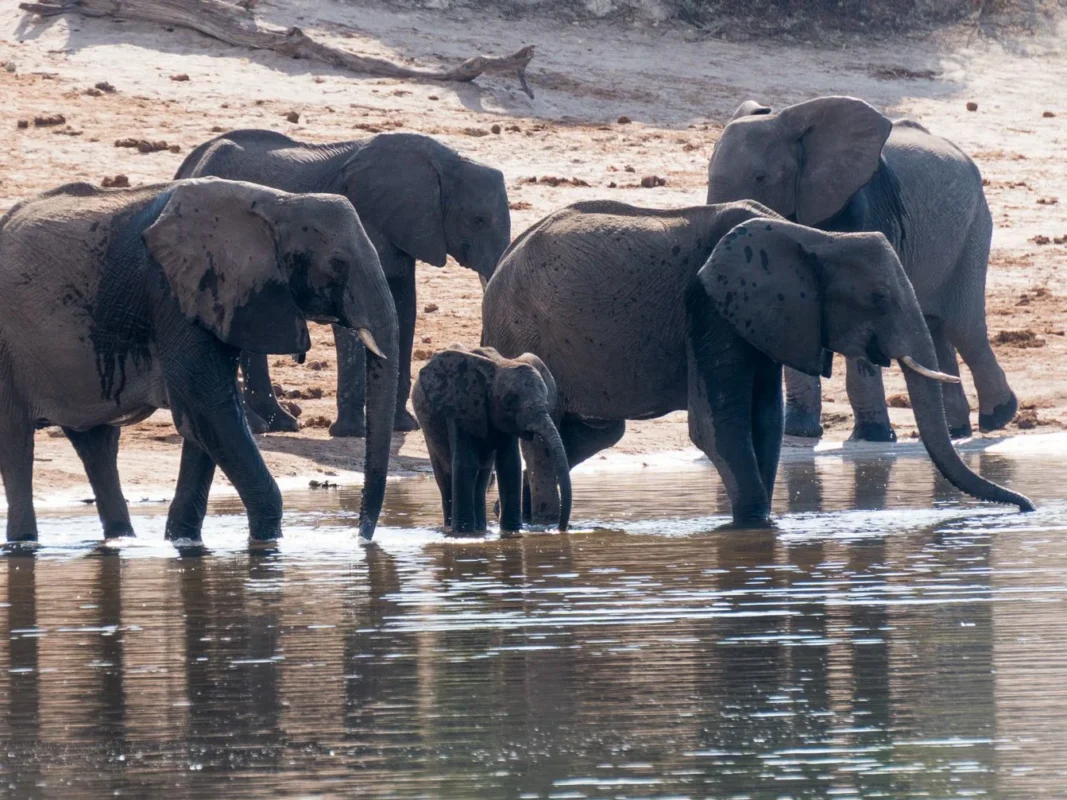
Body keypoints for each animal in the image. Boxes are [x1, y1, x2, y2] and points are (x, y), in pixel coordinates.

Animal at [0, 178, 398, 543]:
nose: (361, 538)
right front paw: (266, 544)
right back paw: (24, 543)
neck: (278, 203)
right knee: (17, 441)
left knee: (96, 444)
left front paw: (183, 542)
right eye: (337, 264)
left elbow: (205, 419)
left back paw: (122, 540)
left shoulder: (221, 298)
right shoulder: (173, 291)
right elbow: (210, 408)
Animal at [176, 129, 511, 437]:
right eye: (478, 221)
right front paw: (353, 432)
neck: (447, 161)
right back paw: (260, 426)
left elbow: (405, 309)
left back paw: (280, 423)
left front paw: (403, 426)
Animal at [412, 345, 571, 533]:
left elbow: (510, 465)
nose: (560, 528)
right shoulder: (460, 408)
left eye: (545, 400)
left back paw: (480, 528)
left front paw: (511, 531)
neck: (499, 365)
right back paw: (452, 528)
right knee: (445, 477)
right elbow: (465, 464)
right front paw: (463, 533)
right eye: (510, 400)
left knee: (482, 476)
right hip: (428, 430)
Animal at [481, 200, 1033, 527]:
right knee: (550, 435)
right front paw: (751, 527)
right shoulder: (710, 306)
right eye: (877, 298)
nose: (1027, 506)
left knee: (592, 433)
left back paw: (519, 517)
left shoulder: (768, 317)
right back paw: (540, 523)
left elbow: (764, 421)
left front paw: (764, 528)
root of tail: (501, 265)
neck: (810, 237)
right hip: (525, 330)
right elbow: (717, 427)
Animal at [706, 95, 1016, 442]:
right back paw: (957, 430)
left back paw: (997, 418)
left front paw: (873, 436)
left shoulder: (861, 209)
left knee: (963, 327)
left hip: (974, 228)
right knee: (936, 328)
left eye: (761, 178)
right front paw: (800, 433)